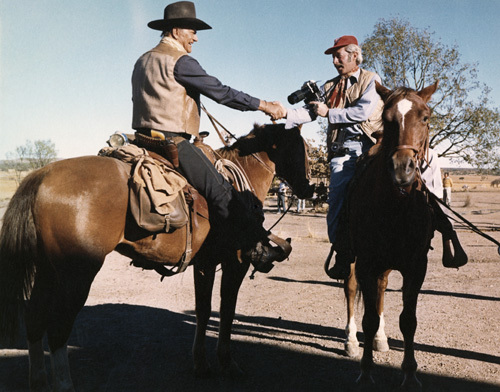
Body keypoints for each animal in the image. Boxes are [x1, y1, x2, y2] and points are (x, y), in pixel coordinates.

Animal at [0, 123, 312, 392]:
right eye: (301, 148)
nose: (308, 188)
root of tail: (40, 176)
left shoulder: (205, 264)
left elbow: (203, 310)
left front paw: (201, 364)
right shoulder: (235, 262)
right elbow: (226, 311)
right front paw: (227, 363)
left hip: (47, 269)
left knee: (34, 318)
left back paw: (38, 381)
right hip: (76, 274)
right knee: (58, 329)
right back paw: (64, 384)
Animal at [342, 80, 440, 388]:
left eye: (425, 117)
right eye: (387, 119)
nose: (401, 169)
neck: (396, 205)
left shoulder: (416, 266)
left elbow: (408, 320)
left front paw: (409, 374)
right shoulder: (366, 262)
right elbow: (369, 318)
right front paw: (365, 372)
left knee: (382, 290)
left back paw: (380, 340)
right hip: (355, 260)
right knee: (352, 290)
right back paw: (351, 341)